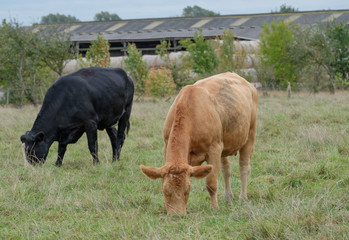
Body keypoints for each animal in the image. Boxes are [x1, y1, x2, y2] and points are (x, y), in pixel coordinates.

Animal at [140, 72, 256, 215]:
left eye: (187, 190)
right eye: (165, 191)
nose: (176, 215)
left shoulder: (214, 148)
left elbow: (211, 183)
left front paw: (214, 207)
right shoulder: (166, 145)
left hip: (250, 135)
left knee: (244, 167)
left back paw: (242, 197)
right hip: (224, 144)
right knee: (226, 170)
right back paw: (228, 196)